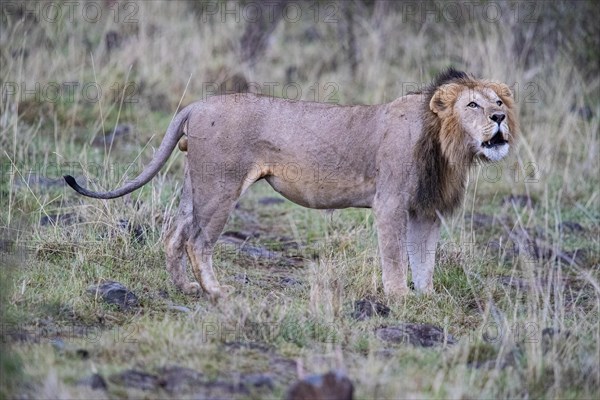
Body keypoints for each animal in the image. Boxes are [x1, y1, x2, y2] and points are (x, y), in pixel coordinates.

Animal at [64, 68, 516, 300]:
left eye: (497, 102)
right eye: (472, 104)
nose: (499, 119)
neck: (448, 147)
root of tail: (198, 104)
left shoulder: (426, 211)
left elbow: (425, 260)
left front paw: (427, 298)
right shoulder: (391, 203)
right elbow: (394, 258)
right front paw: (398, 299)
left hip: (197, 185)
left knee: (174, 235)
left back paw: (183, 288)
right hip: (221, 186)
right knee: (197, 242)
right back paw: (215, 291)